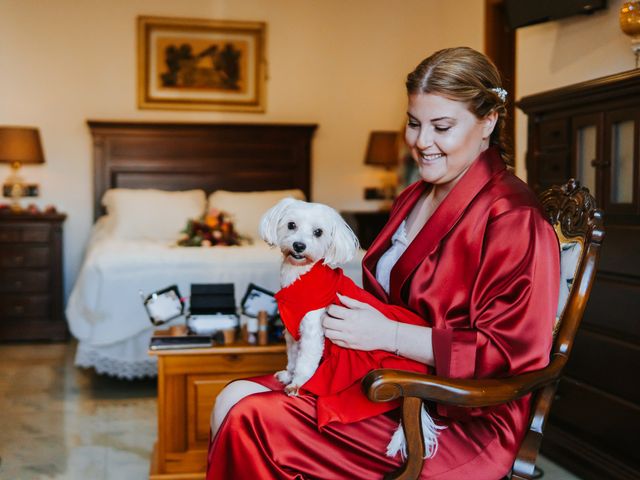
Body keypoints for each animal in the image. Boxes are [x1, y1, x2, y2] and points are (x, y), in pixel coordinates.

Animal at [258, 198, 442, 458]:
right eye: (291, 225)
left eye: (318, 232)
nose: (299, 246)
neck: (301, 277)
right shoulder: (292, 333)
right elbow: (293, 357)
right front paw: (288, 374)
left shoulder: (312, 332)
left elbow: (305, 361)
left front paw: (298, 383)